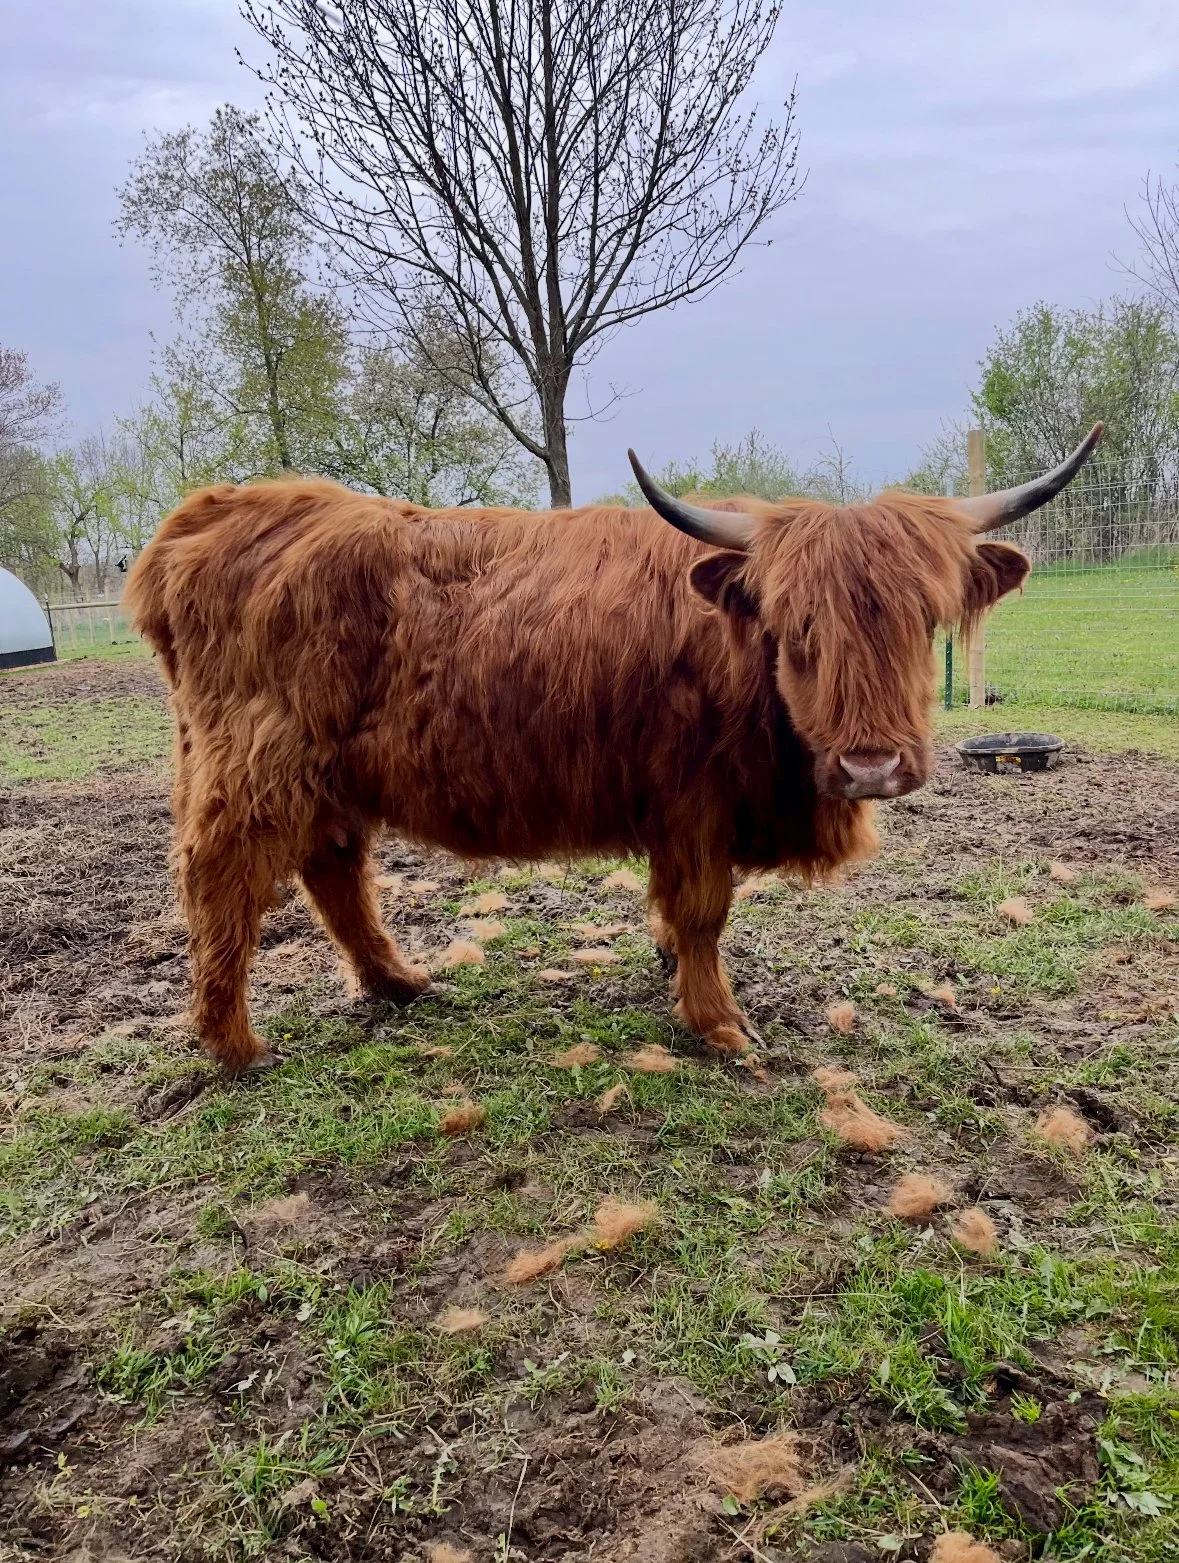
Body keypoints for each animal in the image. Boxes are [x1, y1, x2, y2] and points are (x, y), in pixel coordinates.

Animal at [125, 425, 1101, 1074]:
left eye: (922, 621)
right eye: (796, 628)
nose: (870, 765)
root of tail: (218, 510)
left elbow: (678, 916)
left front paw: (671, 966)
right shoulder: (692, 801)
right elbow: (703, 911)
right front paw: (717, 1021)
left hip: (328, 771)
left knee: (333, 866)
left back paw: (401, 982)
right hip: (260, 763)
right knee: (224, 876)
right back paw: (236, 1042)